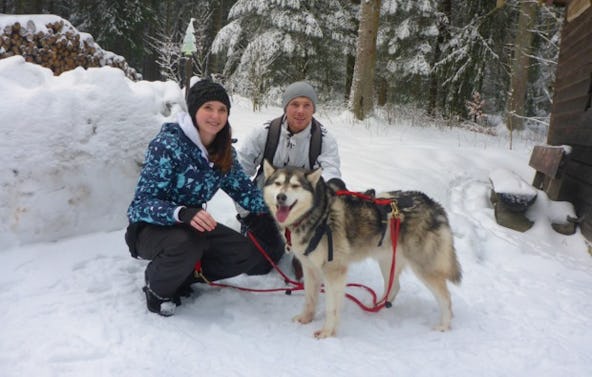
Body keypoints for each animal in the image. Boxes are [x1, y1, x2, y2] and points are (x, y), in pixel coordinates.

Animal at [264, 159, 462, 338]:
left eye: (295, 185)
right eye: (278, 183)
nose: (281, 197)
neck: (318, 215)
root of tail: (434, 204)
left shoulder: (334, 271)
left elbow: (331, 308)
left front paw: (327, 332)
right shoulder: (310, 268)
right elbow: (310, 299)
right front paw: (306, 318)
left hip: (423, 267)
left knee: (446, 298)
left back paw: (444, 326)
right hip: (387, 261)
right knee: (394, 286)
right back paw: (377, 305)